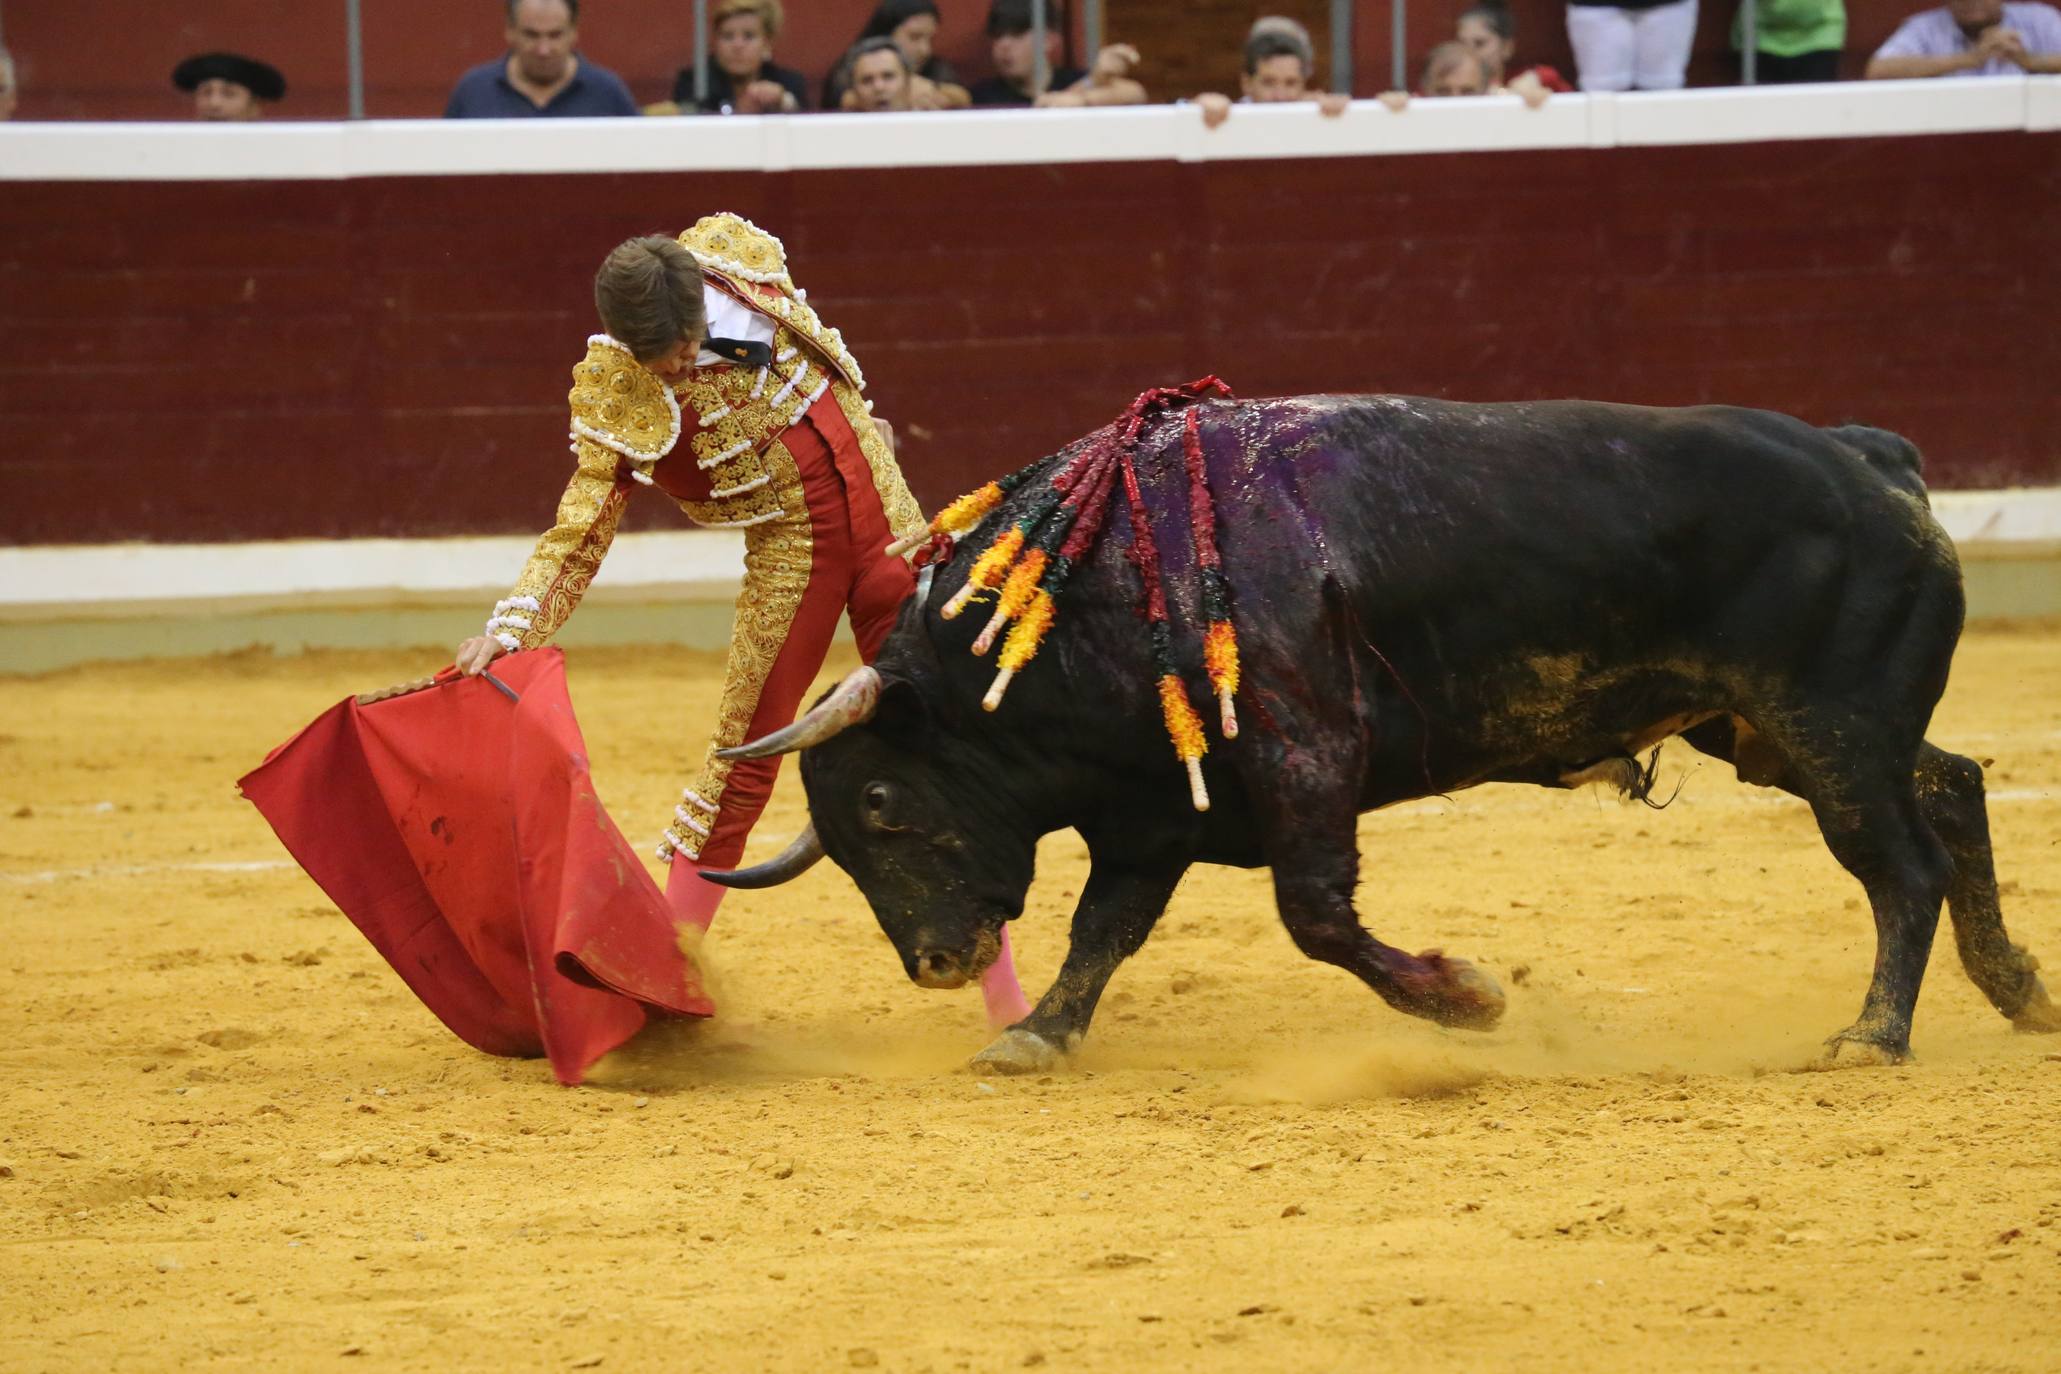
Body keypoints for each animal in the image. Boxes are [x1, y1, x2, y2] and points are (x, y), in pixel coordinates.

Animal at [700, 397, 2052, 1071]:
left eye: (881, 807)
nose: (935, 964)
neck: (1097, 577)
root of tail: (1876, 462)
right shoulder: (1148, 812)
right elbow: (1104, 930)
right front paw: (1033, 1036)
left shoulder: (1305, 761)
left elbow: (1315, 916)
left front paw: (1468, 1001)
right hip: (1778, 732)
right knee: (1954, 788)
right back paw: (2020, 989)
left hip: (1830, 731)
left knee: (1902, 866)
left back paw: (1872, 1036)